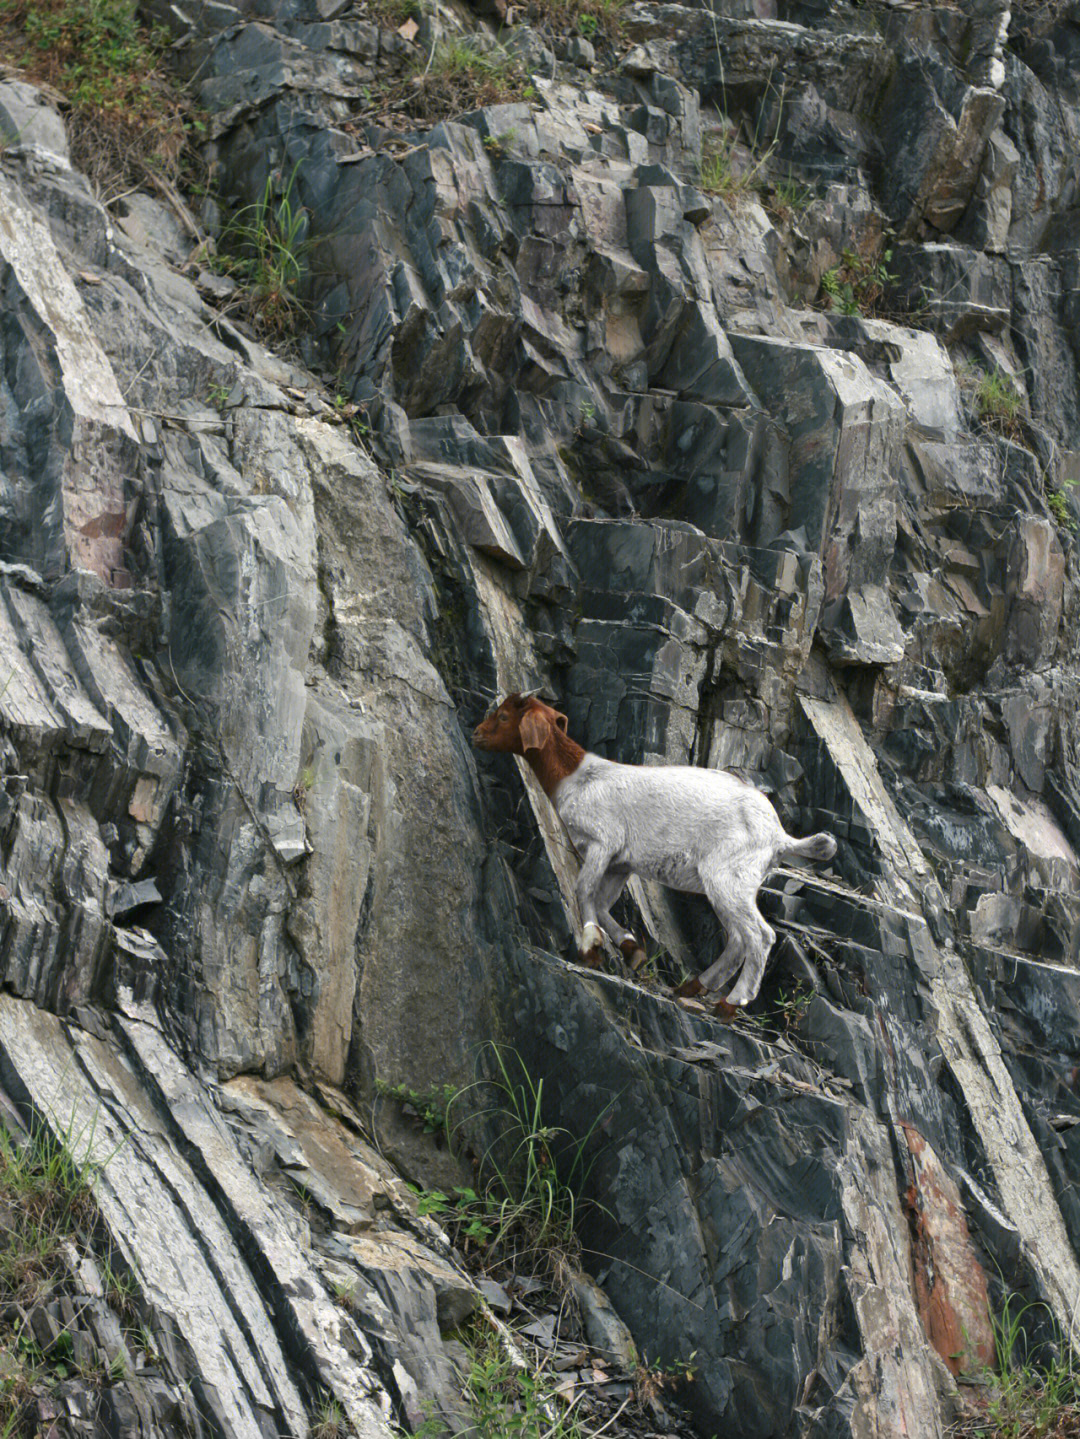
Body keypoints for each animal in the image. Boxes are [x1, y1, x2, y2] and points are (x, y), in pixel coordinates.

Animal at [471, 690, 834, 1007]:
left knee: (760, 936)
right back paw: (693, 987)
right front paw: (631, 949)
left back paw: (731, 1004)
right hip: (733, 884)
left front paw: (589, 947)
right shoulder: (620, 864)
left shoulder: (602, 841)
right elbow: (601, 903)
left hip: (728, 876)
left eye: (503, 716)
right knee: (737, 939)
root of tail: (778, 835)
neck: (577, 778)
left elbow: (582, 889)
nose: (476, 735)